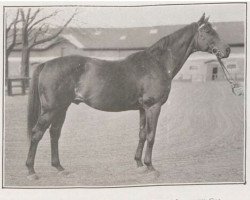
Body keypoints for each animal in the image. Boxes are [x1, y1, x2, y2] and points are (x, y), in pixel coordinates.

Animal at [25, 14, 230, 180]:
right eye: (208, 31)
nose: (227, 50)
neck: (157, 64)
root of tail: (47, 64)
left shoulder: (142, 108)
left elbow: (141, 134)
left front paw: (139, 164)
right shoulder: (153, 106)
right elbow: (151, 136)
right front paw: (151, 167)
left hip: (62, 108)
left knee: (54, 134)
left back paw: (60, 168)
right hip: (51, 109)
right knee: (36, 134)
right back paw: (31, 171)